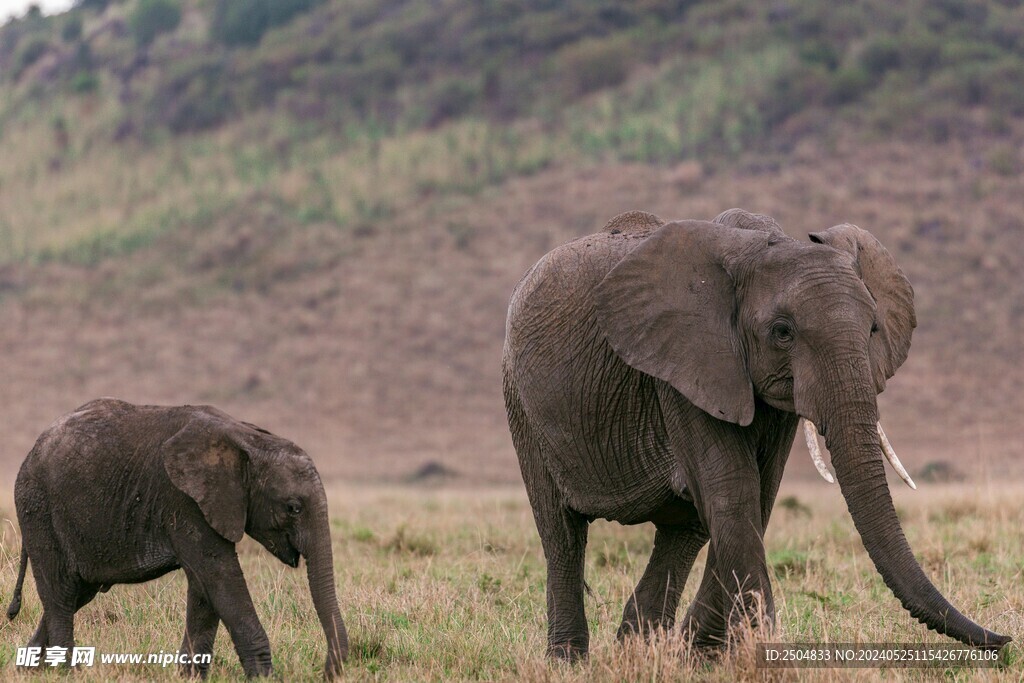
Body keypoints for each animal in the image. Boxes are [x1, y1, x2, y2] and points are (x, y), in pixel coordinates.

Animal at [501, 209, 1007, 663]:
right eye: (782, 333)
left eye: (873, 328)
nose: (1004, 641)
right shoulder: (685, 367)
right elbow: (735, 491)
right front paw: (755, 654)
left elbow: (758, 495)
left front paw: (700, 655)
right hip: (521, 405)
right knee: (562, 532)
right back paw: (569, 660)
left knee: (684, 530)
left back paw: (638, 650)